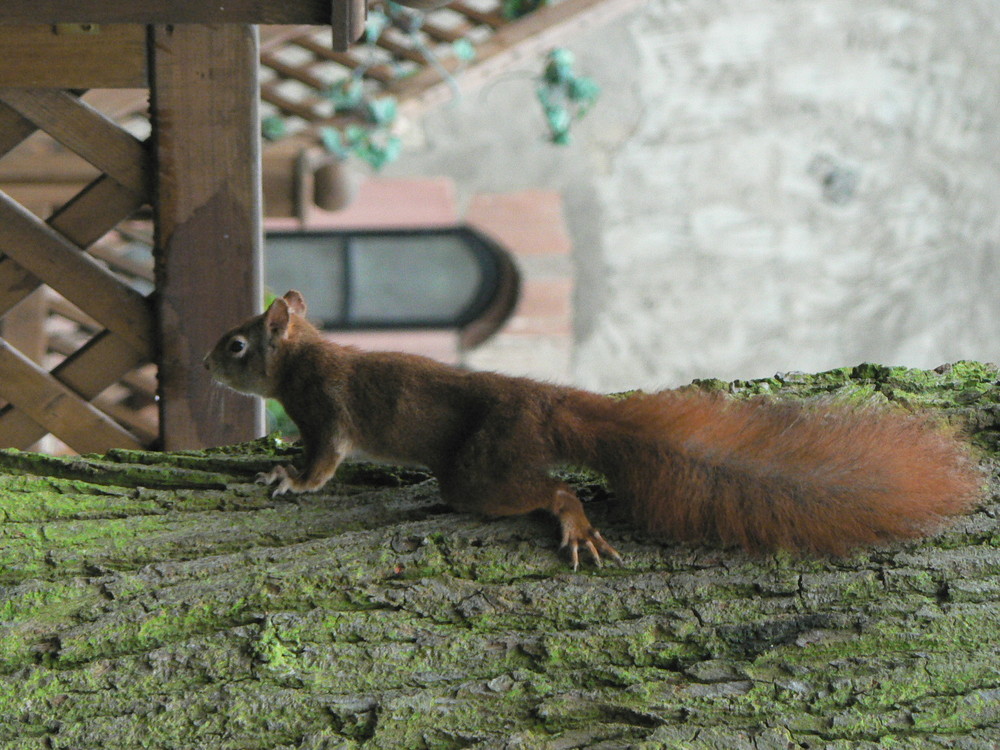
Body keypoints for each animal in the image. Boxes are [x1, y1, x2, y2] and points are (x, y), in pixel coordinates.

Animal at [203, 290, 976, 568]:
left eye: (237, 345)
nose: (206, 362)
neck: (303, 354)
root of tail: (547, 404)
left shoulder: (326, 409)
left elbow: (323, 462)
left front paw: (286, 477)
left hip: (480, 470)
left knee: (551, 489)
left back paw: (573, 521)